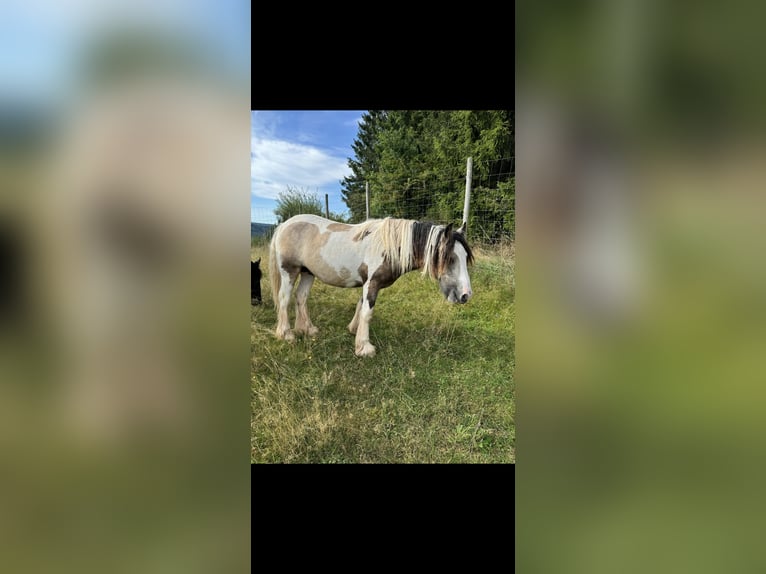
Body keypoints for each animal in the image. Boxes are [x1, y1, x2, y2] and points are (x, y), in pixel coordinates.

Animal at [268, 214, 474, 357]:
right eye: (450, 258)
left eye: (465, 257)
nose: (466, 295)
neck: (390, 247)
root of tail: (285, 225)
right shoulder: (372, 283)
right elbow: (367, 313)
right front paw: (364, 347)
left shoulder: (367, 283)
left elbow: (360, 306)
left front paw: (354, 331)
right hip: (289, 271)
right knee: (284, 299)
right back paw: (286, 334)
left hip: (307, 273)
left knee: (301, 297)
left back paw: (307, 329)